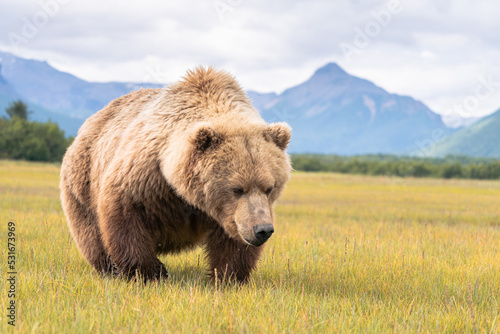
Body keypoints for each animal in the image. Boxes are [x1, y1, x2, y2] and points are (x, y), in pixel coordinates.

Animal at [60, 66, 292, 284]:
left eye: (269, 188)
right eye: (237, 189)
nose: (262, 230)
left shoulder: (230, 215)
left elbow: (232, 245)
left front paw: (228, 277)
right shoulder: (147, 178)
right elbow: (126, 217)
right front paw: (151, 273)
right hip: (82, 183)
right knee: (91, 234)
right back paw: (109, 269)